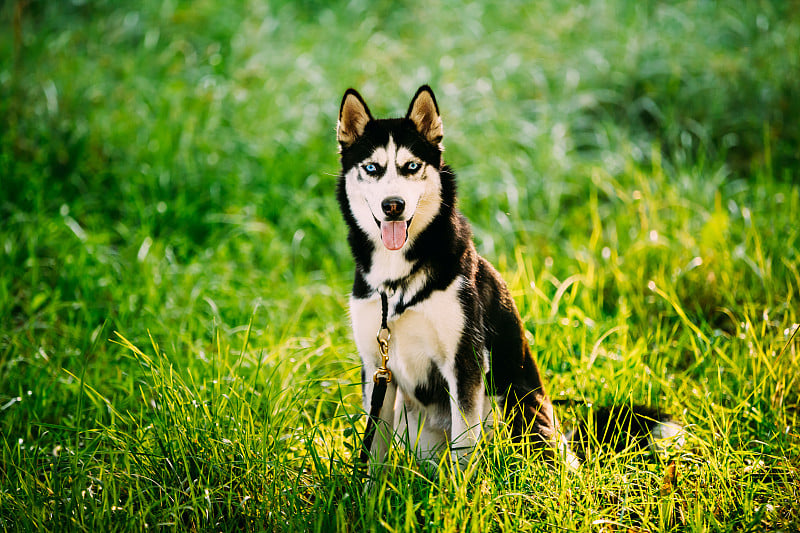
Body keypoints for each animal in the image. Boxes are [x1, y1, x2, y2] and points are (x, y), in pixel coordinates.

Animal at [334, 85, 680, 468]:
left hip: (513, 406)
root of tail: (566, 441)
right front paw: (366, 485)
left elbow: (464, 445)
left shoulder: (464, 362)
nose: (392, 205)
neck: (396, 281)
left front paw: (461, 484)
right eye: (372, 168)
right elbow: (373, 455)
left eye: (411, 166)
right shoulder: (377, 369)